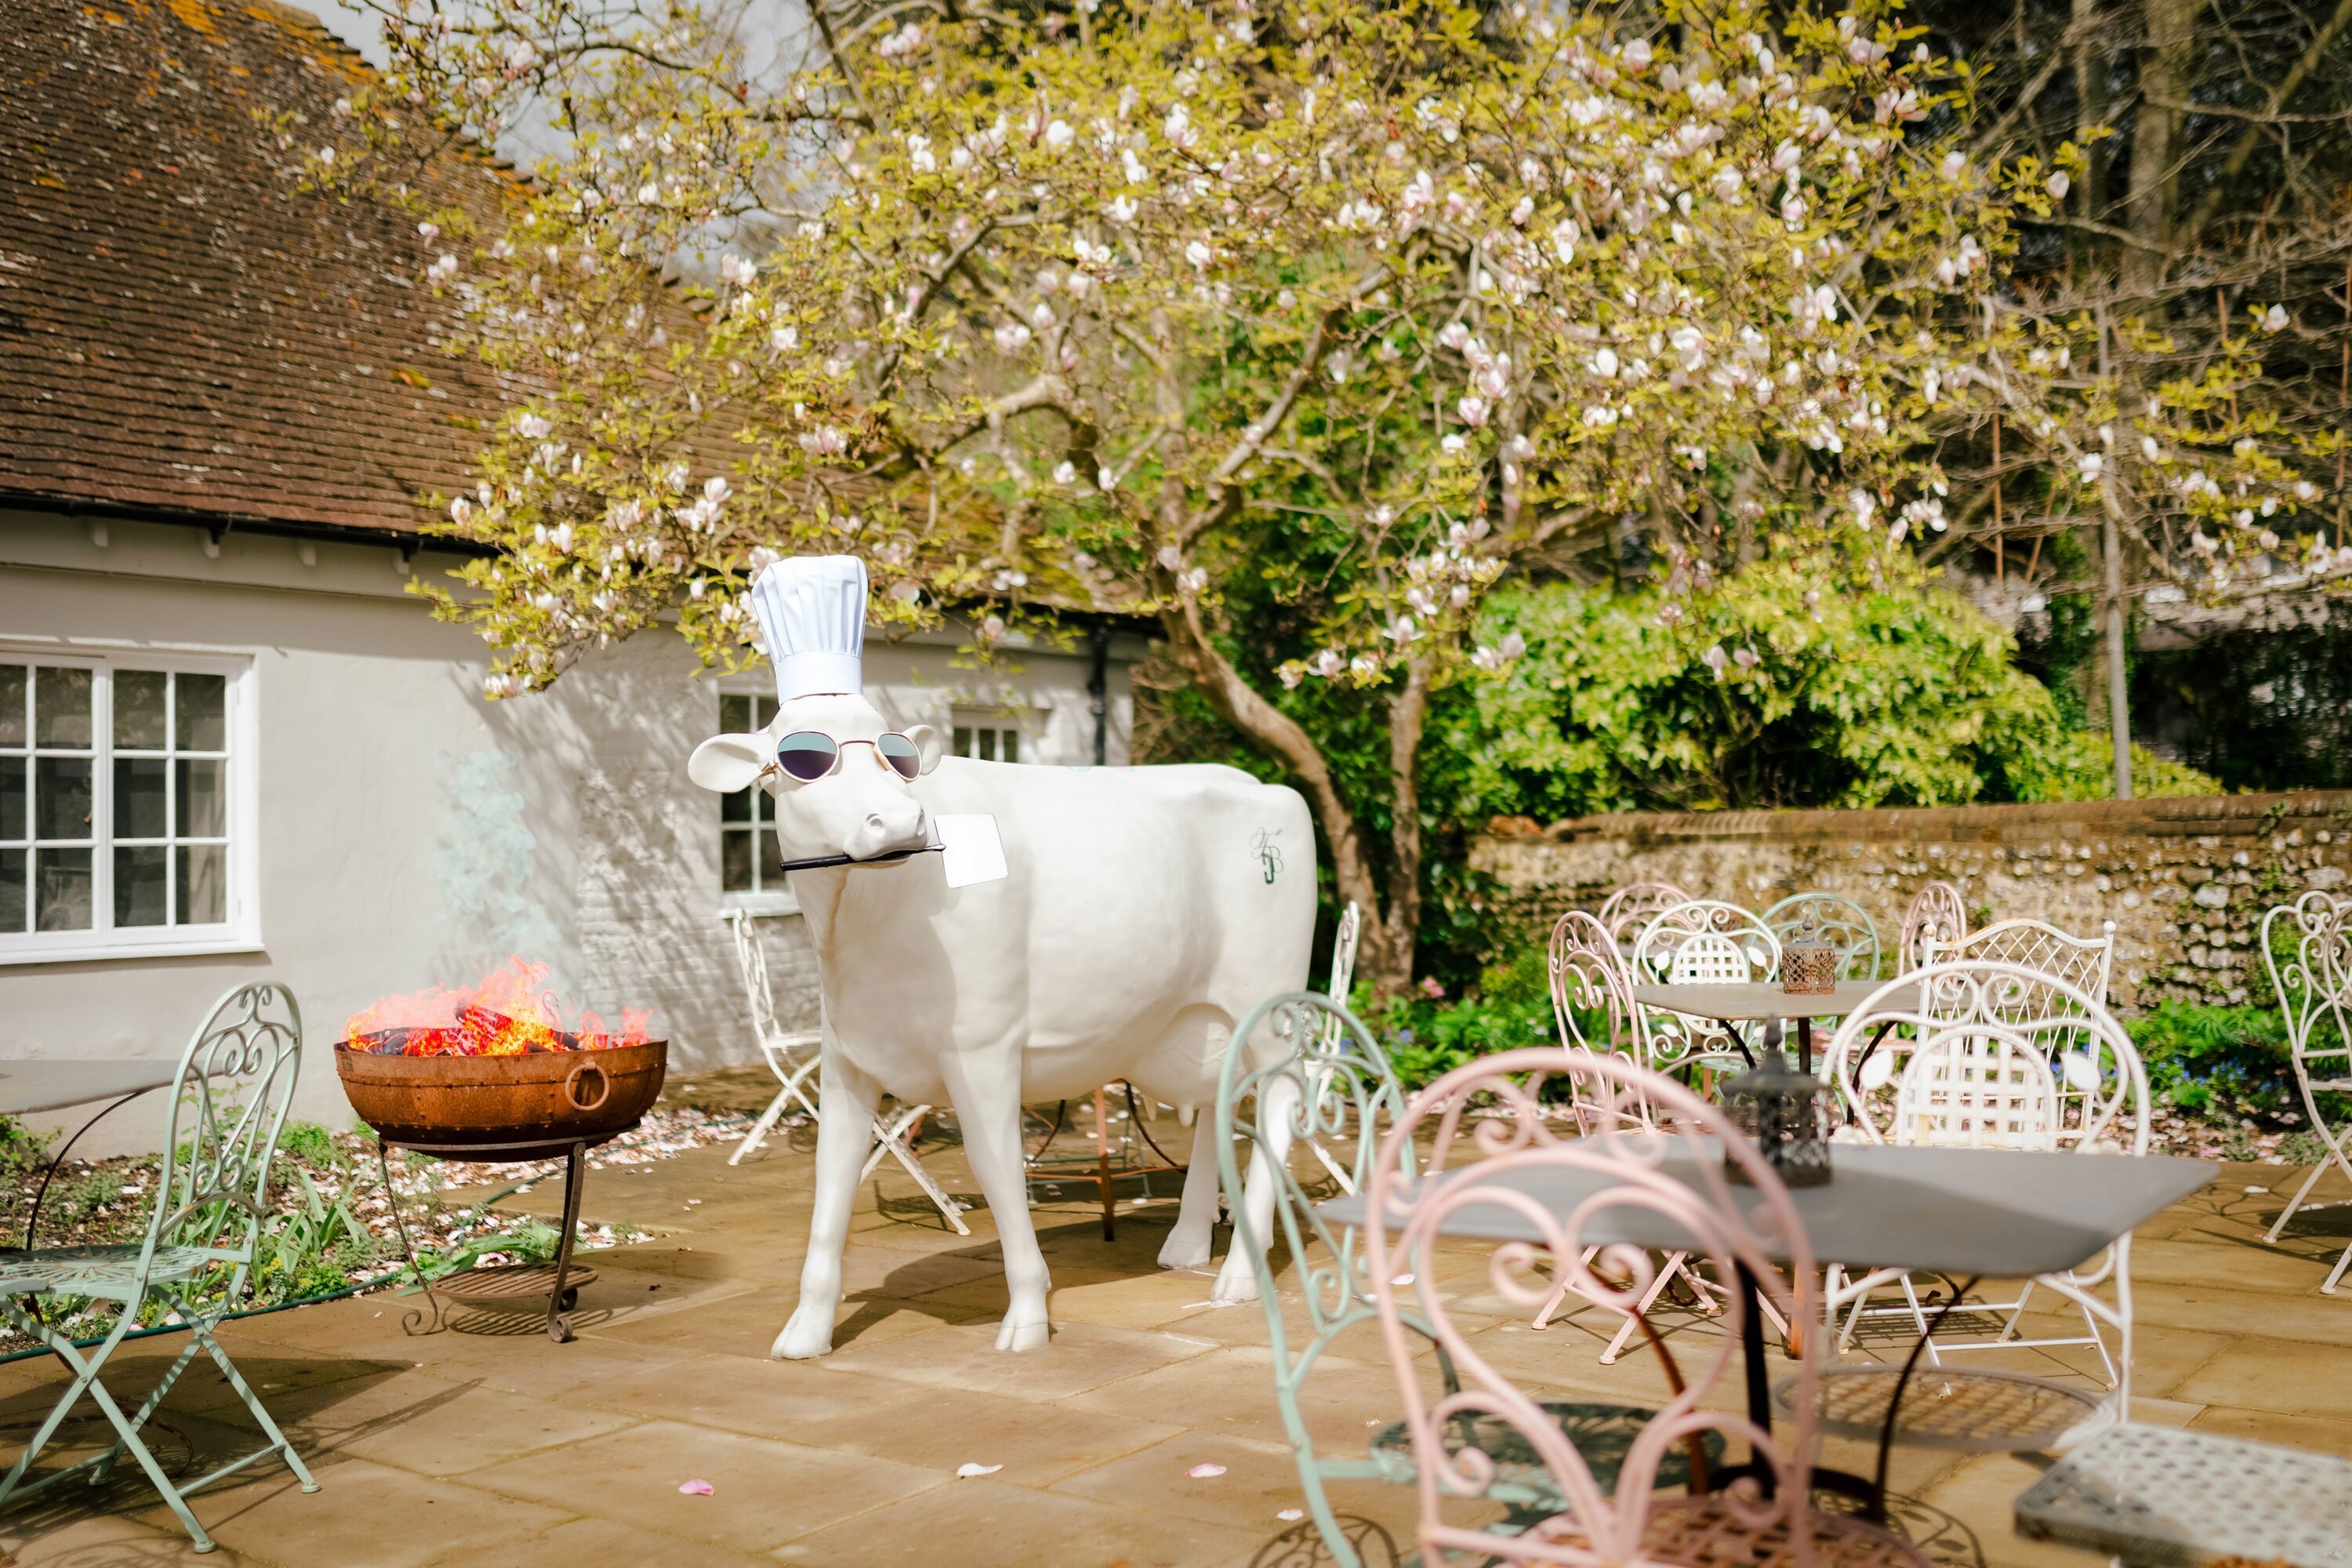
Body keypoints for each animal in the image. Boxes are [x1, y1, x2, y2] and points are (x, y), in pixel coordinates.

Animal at [688, 672, 1315, 1357]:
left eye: (896, 755)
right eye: (805, 758)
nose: (900, 820)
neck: (865, 919)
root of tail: (1257, 783)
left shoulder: (982, 1046)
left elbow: (995, 1167)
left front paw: (1027, 1317)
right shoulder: (848, 1053)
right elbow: (832, 1177)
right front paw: (806, 1330)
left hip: (1268, 1002)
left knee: (1280, 1100)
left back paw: (1240, 1274)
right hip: (1199, 1017)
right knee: (1215, 1102)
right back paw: (1188, 1243)